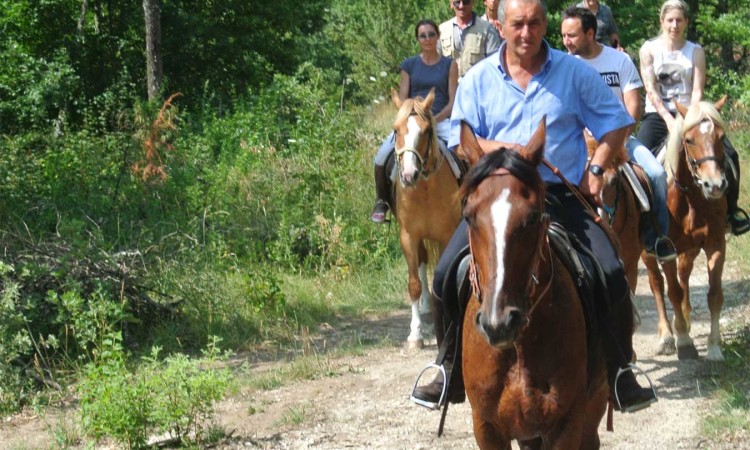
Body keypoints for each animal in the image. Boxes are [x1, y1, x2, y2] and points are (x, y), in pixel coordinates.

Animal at [394, 88, 464, 348]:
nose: (408, 175)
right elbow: (414, 284)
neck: (424, 189)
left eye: (425, 131)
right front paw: (415, 334)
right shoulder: (408, 236)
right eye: (396, 130)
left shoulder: (447, 236)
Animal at [458, 120, 612, 450]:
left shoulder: (567, 424)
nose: (498, 323)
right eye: (469, 216)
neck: (518, 348)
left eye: (531, 218)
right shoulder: (487, 427)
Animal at [644, 96, 732, 360]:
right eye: (689, 140)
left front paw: (714, 347)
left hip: (690, 250)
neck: (690, 197)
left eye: (721, 137)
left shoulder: (715, 244)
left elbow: (714, 294)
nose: (715, 185)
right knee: (656, 283)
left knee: (684, 277)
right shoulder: (666, 250)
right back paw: (666, 335)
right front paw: (683, 340)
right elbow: (671, 290)